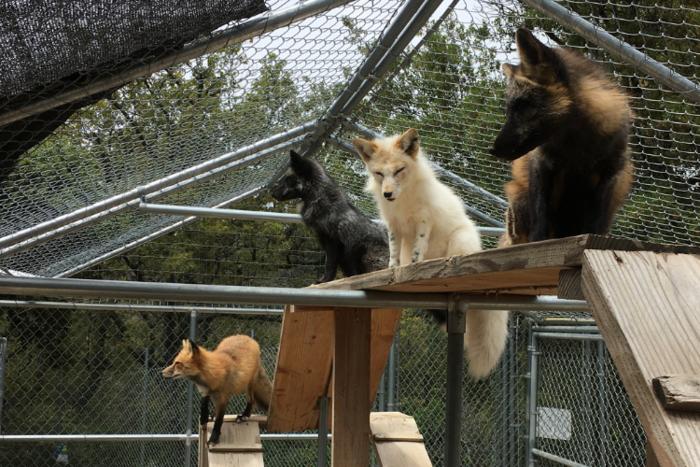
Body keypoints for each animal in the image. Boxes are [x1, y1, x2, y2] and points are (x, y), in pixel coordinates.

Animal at [270, 150, 389, 283]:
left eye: (287, 179)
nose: (271, 191)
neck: (321, 200)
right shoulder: (327, 241)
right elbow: (343, 269)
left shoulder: (332, 241)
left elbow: (330, 265)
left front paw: (324, 281)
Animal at [353, 128, 509, 379]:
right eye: (379, 173)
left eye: (399, 170)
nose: (387, 194)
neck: (404, 201)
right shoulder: (393, 226)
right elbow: (394, 253)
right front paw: (391, 270)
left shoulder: (424, 221)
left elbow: (419, 249)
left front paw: (414, 267)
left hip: (460, 240)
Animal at [491, 28, 634, 245]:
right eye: (509, 111)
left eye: (524, 107)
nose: (493, 150)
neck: (576, 151)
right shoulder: (542, 165)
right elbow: (540, 219)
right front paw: (538, 244)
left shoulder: (610, 172)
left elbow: (594, 226)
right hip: (517, 198)